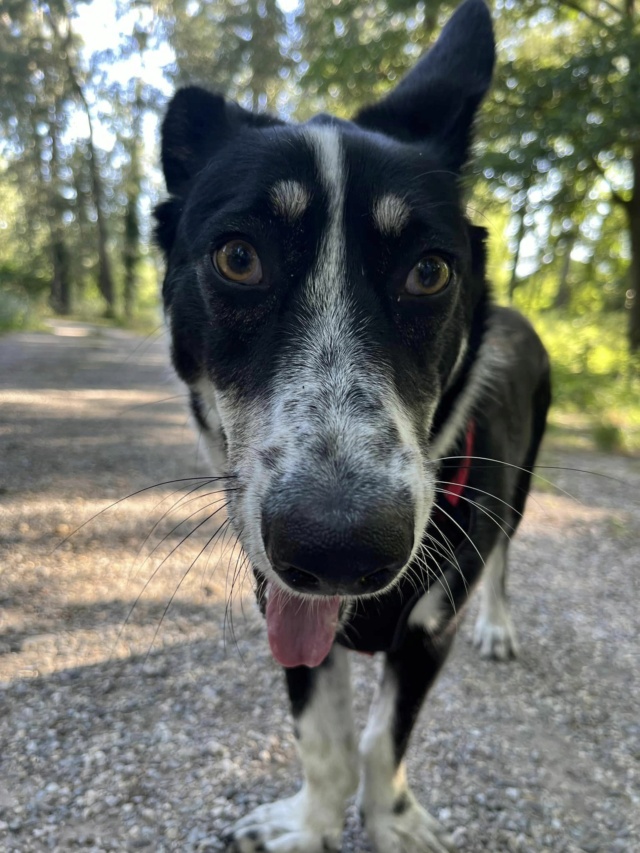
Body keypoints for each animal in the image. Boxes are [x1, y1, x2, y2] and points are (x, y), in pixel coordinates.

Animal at [154, 3, 552, 848]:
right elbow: (326, 740)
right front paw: (309, 824)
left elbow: (379, 741)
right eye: (238, 257)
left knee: (504, 557)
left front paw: (394, 823)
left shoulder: (428, 631)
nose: (339, 548)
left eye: (429, 271)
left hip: (523, 483)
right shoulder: (284, 601)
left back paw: (498, 623)